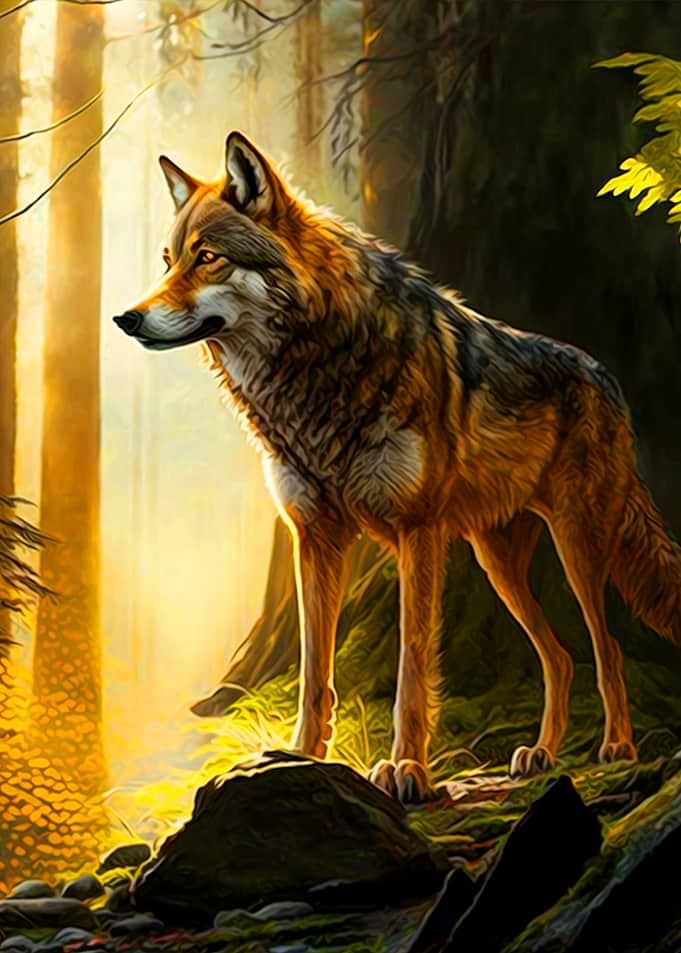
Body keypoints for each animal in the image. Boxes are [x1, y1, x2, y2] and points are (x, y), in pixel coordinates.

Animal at [114, 131, 681, 803]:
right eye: (168, 261)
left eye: (207, 258)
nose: (126, 318)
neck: (315, 372)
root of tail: (606, 377)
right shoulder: (316, 537)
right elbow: (314, 669)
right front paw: (300, 758)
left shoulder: (418, 533)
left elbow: (412, 666)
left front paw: (407, 769)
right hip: (497, 563)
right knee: (561, 657)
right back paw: (540, 755)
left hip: (577, 547)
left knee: (607, 646)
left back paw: (617, 746)